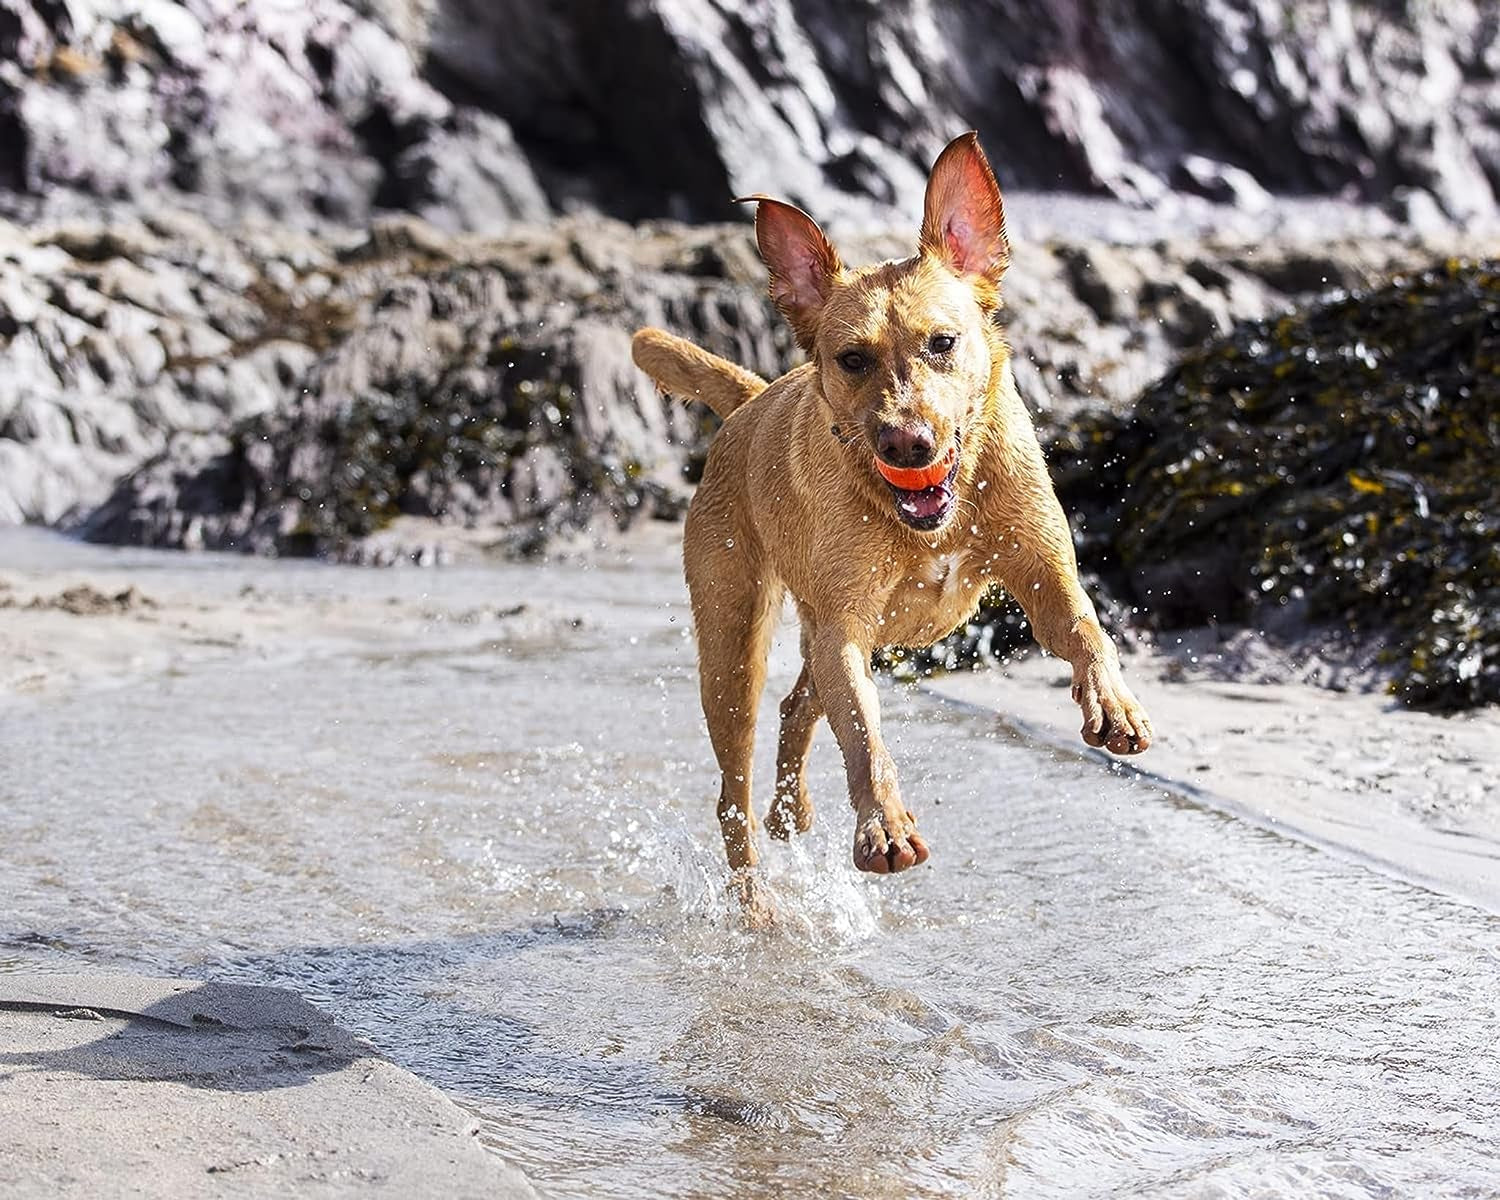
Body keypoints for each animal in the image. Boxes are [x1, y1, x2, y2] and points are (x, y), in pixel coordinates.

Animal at [627, 131, 1152, 912]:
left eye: (943, 343)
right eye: (852, 359)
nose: (907, 443)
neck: (936, 515)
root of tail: (751, 399)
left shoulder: (1043, 572)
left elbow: (1089, 631)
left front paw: (1114, 704)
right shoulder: (845, 627)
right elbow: (866, 740)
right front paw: (884, 827)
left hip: (818, 636)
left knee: (797, 707)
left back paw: (791, 810)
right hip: (734, 646)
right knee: (734, 791)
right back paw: (758, 906)